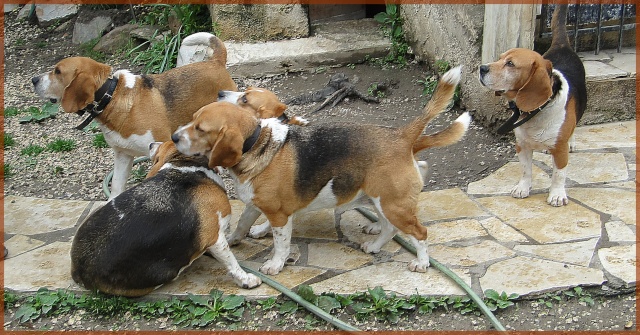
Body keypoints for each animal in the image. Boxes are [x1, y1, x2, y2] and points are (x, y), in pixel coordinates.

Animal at [32, 33, 238, 200]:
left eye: (58, 71)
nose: (33, 80)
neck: (111, 97)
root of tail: (215, 61)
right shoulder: (122, 155)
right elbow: (116, 187)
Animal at [70, 140, 260, 298]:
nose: (151, 144)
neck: (187, 166)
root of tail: (78, 269)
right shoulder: (215, 236)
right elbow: (231, 261)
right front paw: (246, 279)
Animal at [172, 67, 468, 276]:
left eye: (201, 129)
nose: (174, 137)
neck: (257, 142)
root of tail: (402, 134)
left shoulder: (279, 214)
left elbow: (281, 243)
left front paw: (275, 265)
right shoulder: (256, 204)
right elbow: (244, 223)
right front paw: (236, 239)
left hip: (392, 203)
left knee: (419, 232)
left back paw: (422, 263)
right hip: (381, 200)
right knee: (390, 227)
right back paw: (374, 244)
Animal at [478, 3, 588, 206]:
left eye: (510, 64)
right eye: (500, 58)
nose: (481, 68)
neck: (536, 111)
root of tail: (561, 45)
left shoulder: (560, 151)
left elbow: (558, 175)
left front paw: (557, 194)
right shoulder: (522, 145)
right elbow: (525, 169)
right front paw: (523, 187)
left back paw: (571, 141)